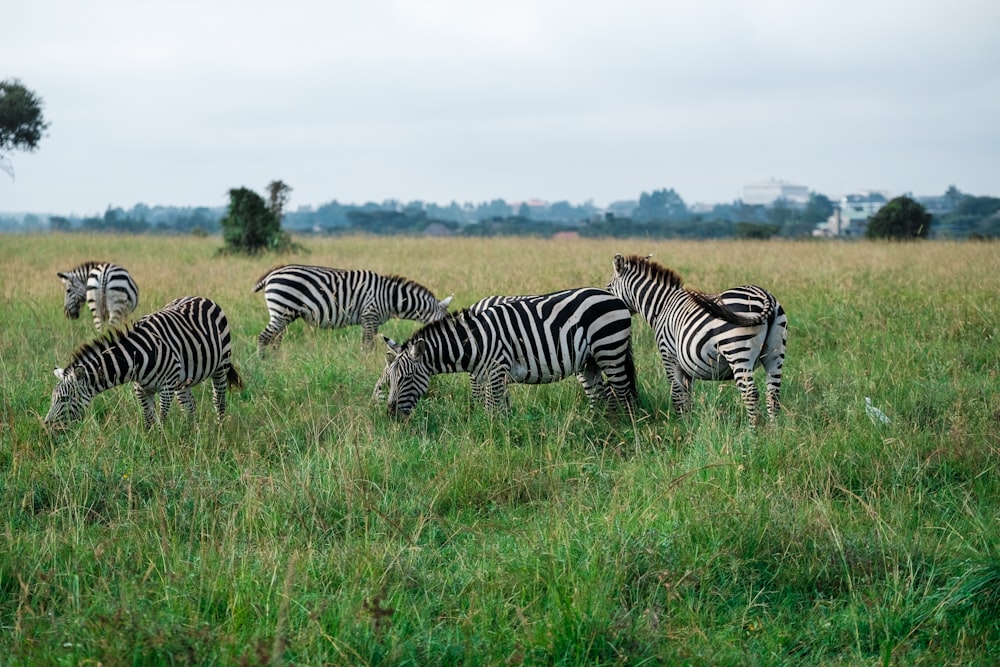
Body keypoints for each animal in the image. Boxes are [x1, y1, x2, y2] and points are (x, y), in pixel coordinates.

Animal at [45, 296, 244, 430]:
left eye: (64, 399)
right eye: (53, 399)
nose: (47, 425)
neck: (137, 358)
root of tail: (201, 297)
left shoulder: (166, 388)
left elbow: (161, 419)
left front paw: (162, 445)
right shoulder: (140, 389)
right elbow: (148, 420)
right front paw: (149, 445)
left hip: (221, 366)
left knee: (219, 400)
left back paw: (219, 431)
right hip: (182, 381)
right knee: (189, 405)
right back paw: (190, 433)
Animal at [252, 264, 456, 354]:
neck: (391, 297)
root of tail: (272, 273)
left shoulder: (370, 320)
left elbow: (365, 343)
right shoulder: (370, 315)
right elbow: (369, 345)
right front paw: (366, 363)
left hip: (285, 314)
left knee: (275, 339)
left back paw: (276, 360)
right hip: (282, 310)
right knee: (264, 337)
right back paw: (263, 363)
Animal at [378, 288, 636, 418]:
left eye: (407, 379)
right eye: (390, 380)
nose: (390, 414)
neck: (475, 342)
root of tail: (613, 296)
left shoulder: (496, 370)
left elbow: (491, 409)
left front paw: (492, 439)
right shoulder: (486, 376)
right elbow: (496, 407)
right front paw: (502, 433)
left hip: (609, 349)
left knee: (623, 393)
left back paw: (625, 430)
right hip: (589, 361)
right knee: (603, 396)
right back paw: (600, 427)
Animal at [604, 253, 784, 426]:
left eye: (608, 288)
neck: (661, 306)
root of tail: (764, 295)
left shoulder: (669, 356)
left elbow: (676, 395)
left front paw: (682, 427)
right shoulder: (686, 366)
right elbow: (687, 398)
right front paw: (689, 424)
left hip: (738, 352)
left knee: (751, 394)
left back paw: (752, 432)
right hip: (775, 354)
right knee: (773, 394)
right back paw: (772, 431)